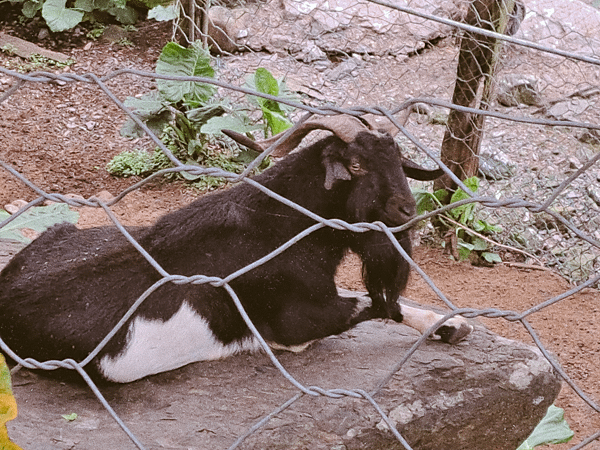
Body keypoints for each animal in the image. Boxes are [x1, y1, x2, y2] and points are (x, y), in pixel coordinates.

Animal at [0, 116, 474, 384]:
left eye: (398, 161)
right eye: (356, 165)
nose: (407, 211)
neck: (285, 226)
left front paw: (452, 324)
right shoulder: (296, 322)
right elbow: (376, 305)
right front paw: (450, 325)